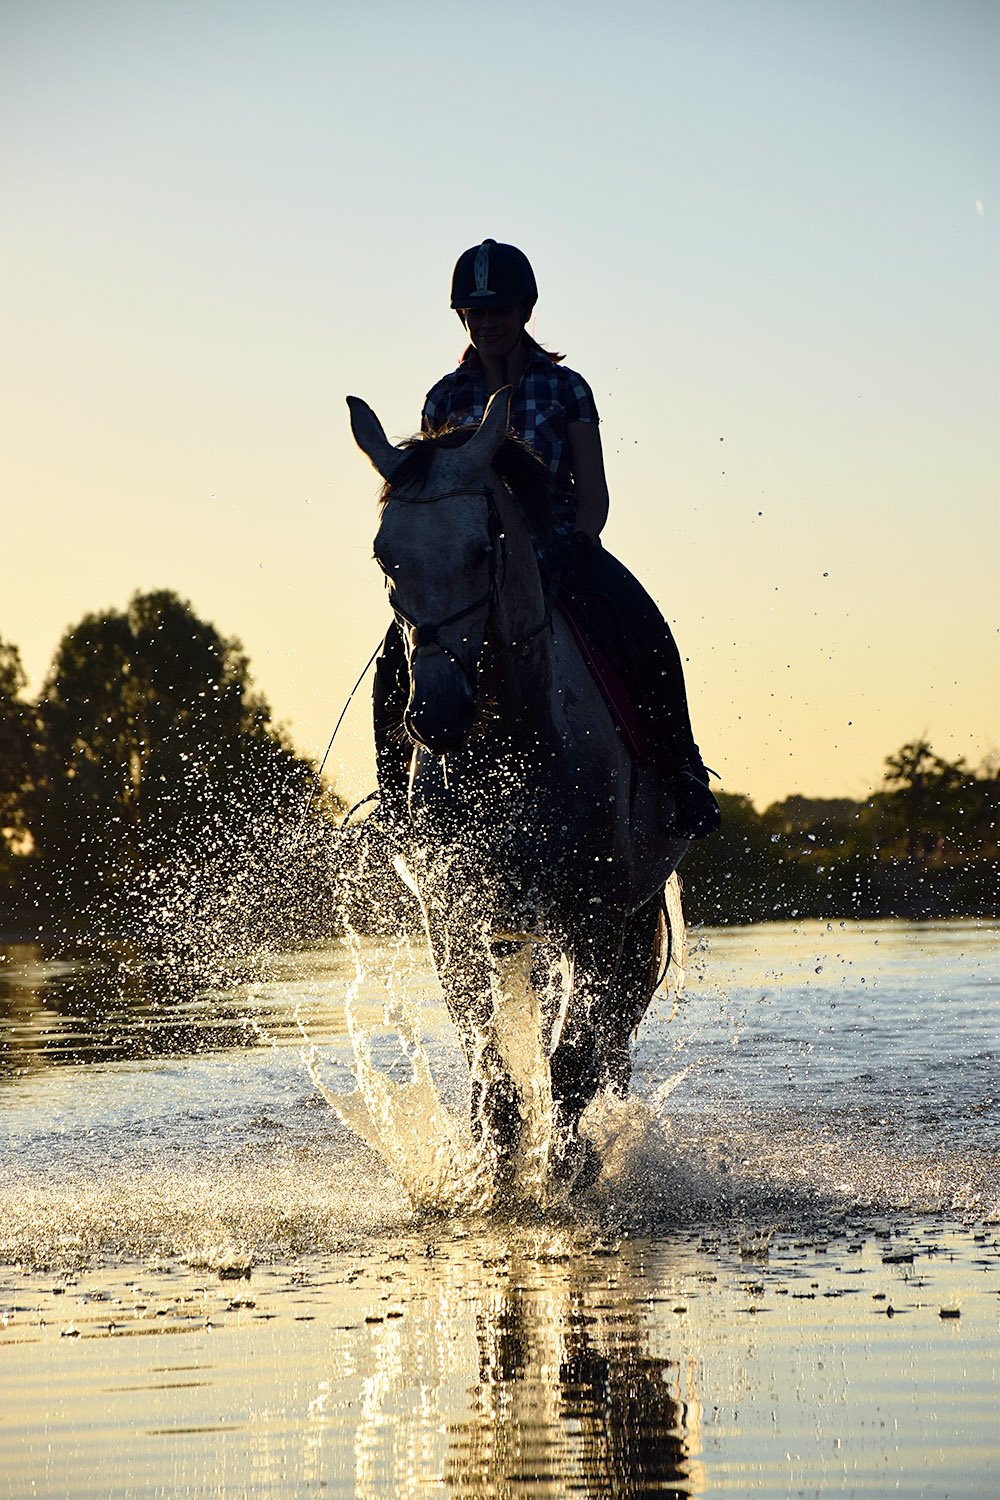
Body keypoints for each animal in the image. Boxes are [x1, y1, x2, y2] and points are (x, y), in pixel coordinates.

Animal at [350, 393, 689, 1188]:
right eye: (384, 554)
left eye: (484, 547)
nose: (437, 714)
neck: (512, 746)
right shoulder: (455, 919)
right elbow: (494, 1069)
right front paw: (489, 1173)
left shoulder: (595, 919)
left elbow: (571, 1067)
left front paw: (563, 1173)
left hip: (622, 917)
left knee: (608, 1038)